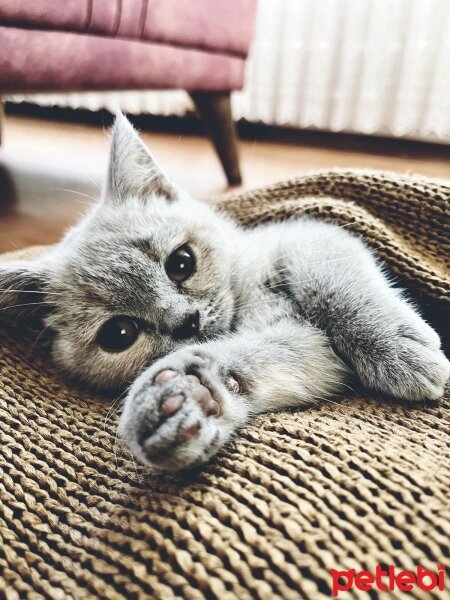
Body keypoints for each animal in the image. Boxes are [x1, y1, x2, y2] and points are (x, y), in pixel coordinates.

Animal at [1, 115, 448, 472]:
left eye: (181, 263)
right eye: (118, 334)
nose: (187, 321)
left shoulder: (307, 233)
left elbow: (335, 285)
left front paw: (396, 350)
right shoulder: (312, 348)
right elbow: (263, 358)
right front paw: (186, 398)